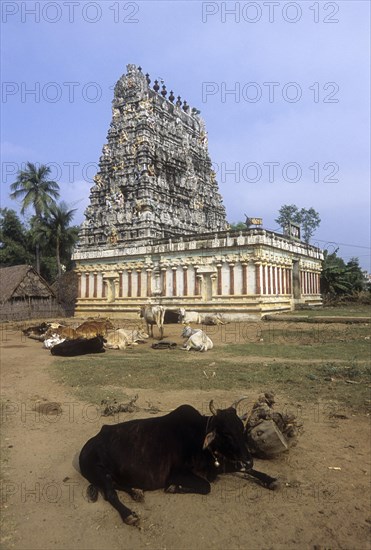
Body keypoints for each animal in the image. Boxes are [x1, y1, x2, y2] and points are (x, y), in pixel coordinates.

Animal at [77, 402, 276, 528]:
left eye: (241, 429)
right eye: (226, 433)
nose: (249, 460)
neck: (199, 435)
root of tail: (88, 445)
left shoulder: (217, 465)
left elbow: (245, 470)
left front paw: (270, 479)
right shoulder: (178, 474)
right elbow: (206, 487)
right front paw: (174, 488)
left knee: (117, 486)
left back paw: (136, 492)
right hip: (100, 472)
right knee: (110, 493)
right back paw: (130, 515)